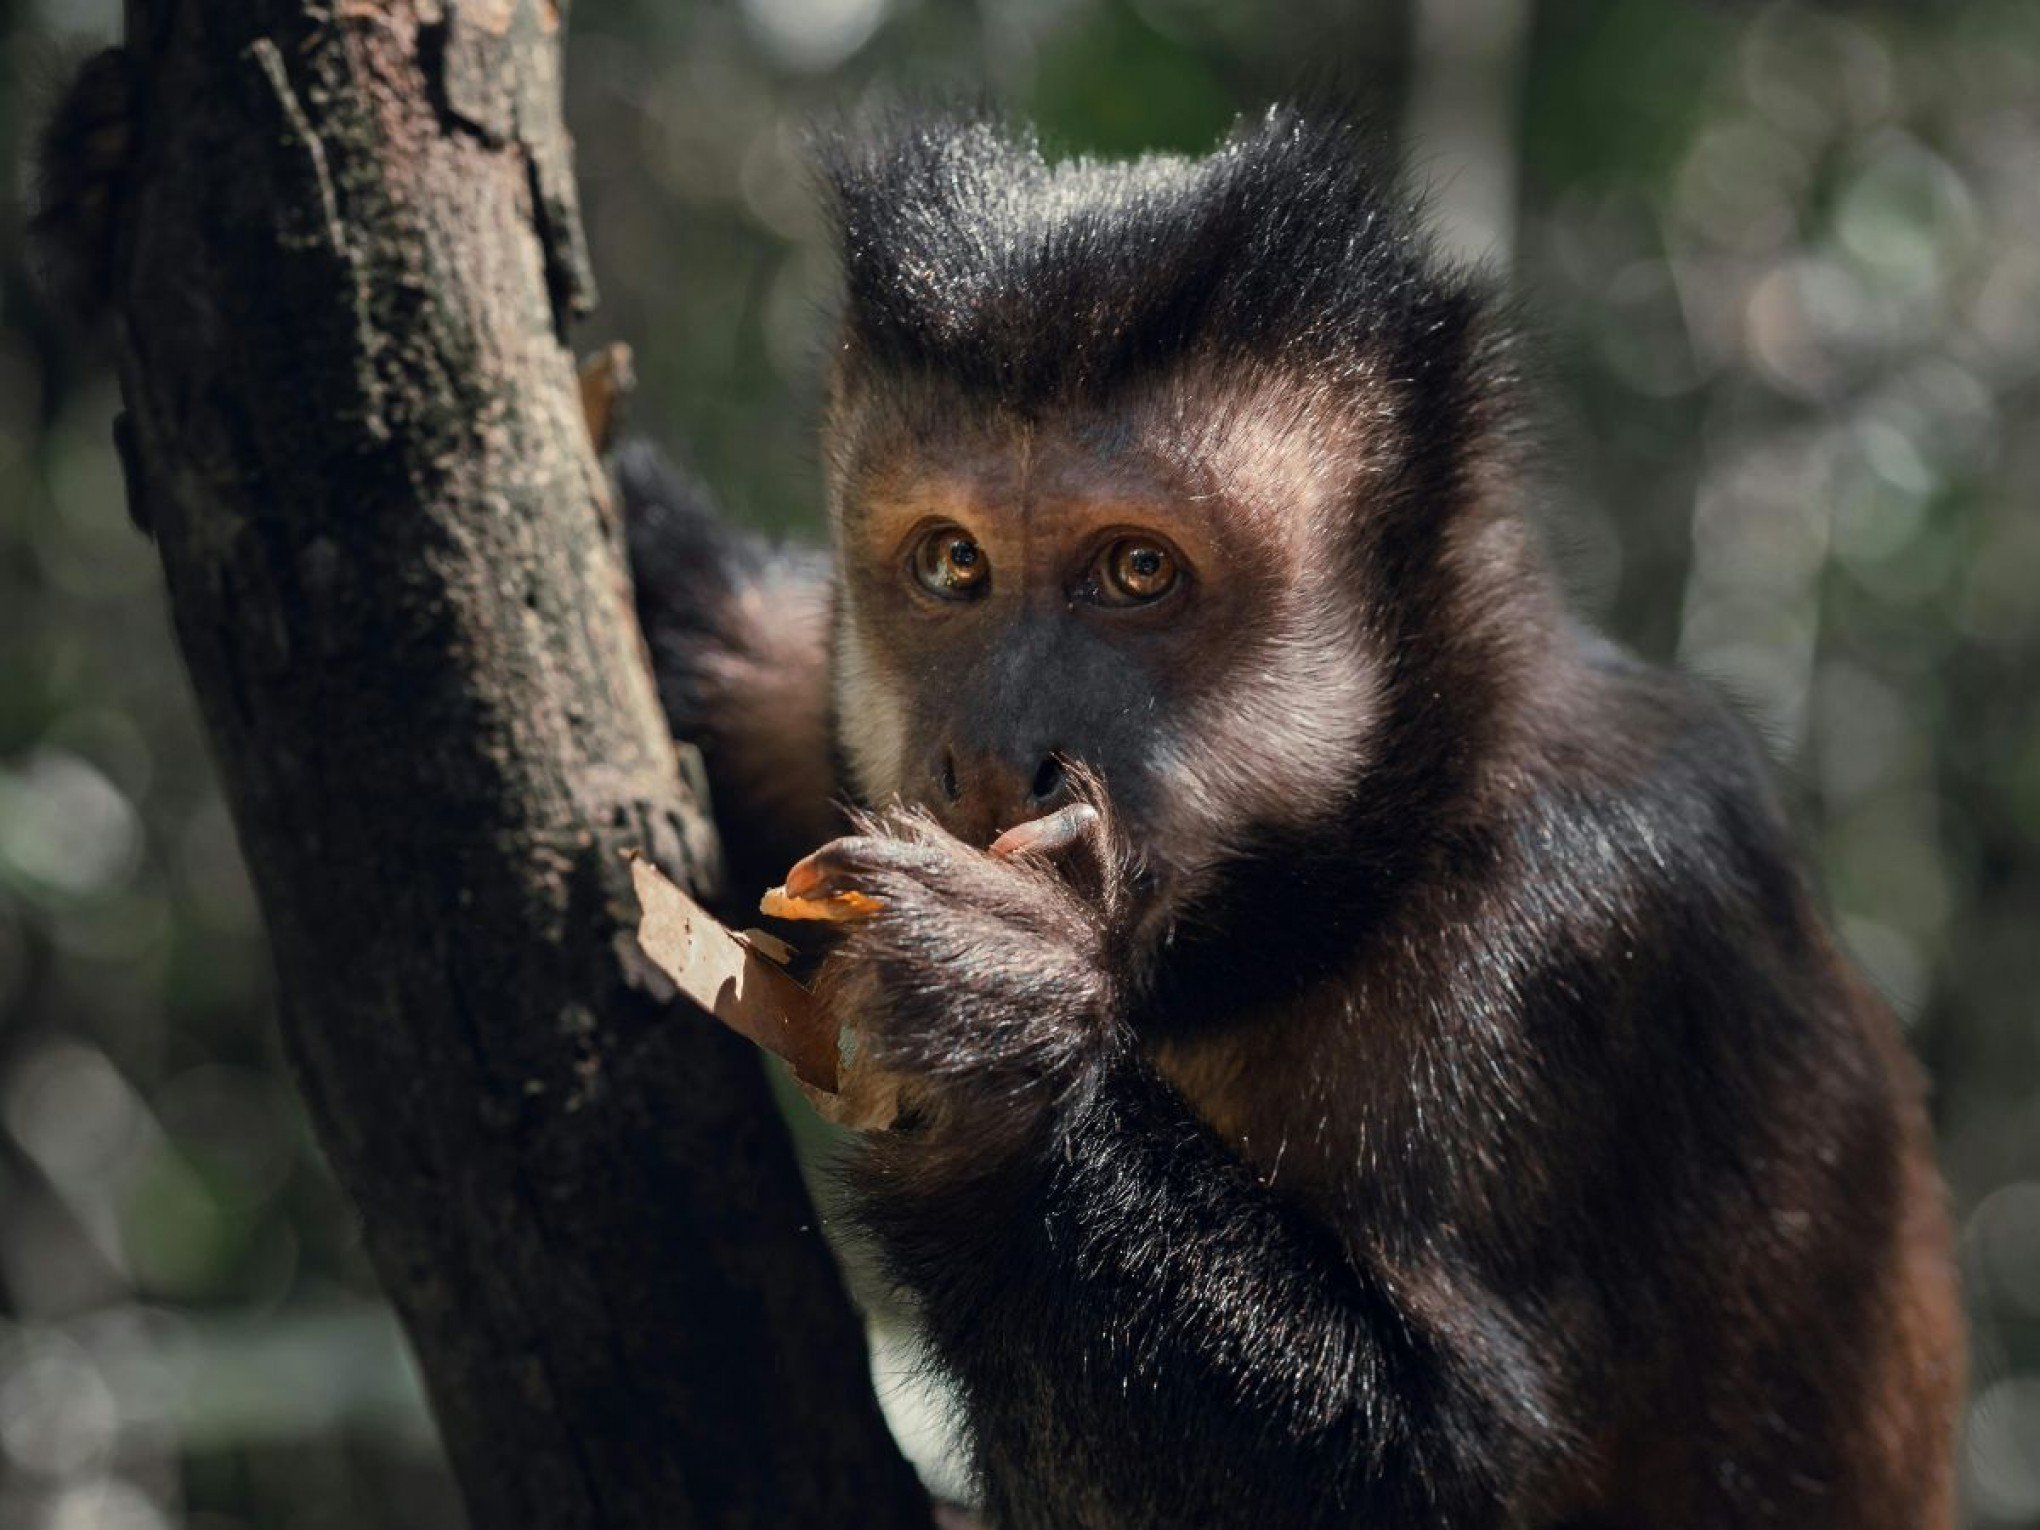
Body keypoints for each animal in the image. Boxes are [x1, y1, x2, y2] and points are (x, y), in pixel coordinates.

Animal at [622, 111, 1965, 1529]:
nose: (987, 755)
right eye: (951, 563)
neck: (1358, 867)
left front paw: (994, 1044)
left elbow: (1443, 1480)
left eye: (1136, 572)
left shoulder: (1589, 927)